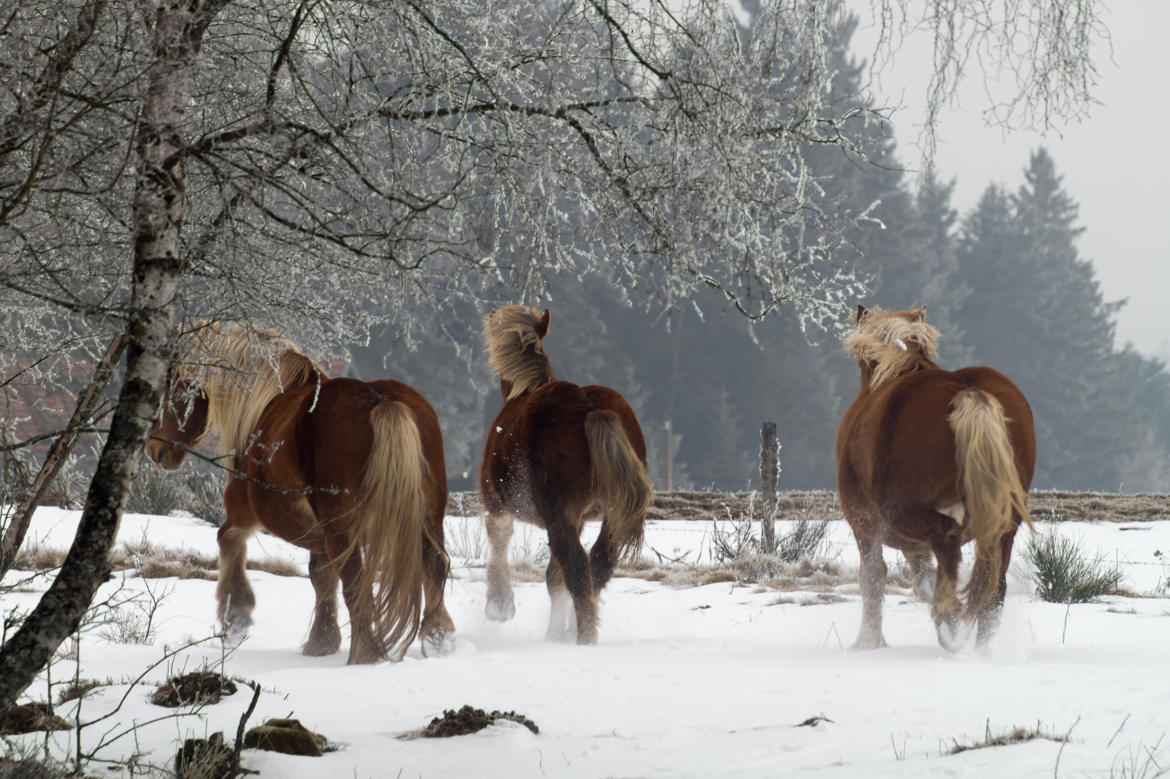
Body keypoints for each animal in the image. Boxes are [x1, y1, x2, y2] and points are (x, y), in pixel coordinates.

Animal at [144, 322, 454, 663]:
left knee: (356, 583)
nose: (154, 450)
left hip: (342, 530)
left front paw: (237, 615)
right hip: (427, 519)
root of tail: (382, 402)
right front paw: (322, 641)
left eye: (173, 389)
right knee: (433, 567)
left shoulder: (245, 511)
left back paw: (363, 656)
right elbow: (321, 576)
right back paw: (438, 639)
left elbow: (228, 539)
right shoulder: (318, 535)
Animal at [478, 306, 652, 644]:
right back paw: (578, 629)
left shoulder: (497, 505)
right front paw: (555, 634)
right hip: (610, 516)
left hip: (558, 516)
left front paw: (499, 604)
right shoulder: (580, 519)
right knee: (598, 565)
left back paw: (584, 637)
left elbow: (499, 542)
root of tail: (590, 408)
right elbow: (554, 579)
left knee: (577, 568)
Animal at [835, 305, 1036, 651]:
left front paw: (868, 642)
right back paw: (980, 649)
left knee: (946, 547)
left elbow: (873, 577)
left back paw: (948, 622)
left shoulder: (863, 524)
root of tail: (965, 390)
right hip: (1004, 524)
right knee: (992, 590)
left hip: (907, 514)